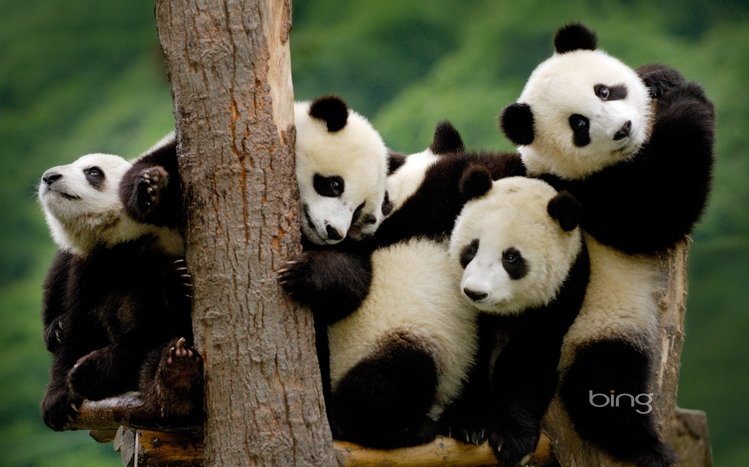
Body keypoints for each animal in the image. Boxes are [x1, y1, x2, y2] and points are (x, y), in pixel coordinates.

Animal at [38, 139, 201, 430]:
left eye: (93, 172)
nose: (50, 177)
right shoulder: (90, 268)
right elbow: (78, 327)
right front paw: (58, 399)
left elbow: (150, 332)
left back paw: (175, 378)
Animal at [440, 173, 589, 467]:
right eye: (472, 248)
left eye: (511, 257)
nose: (475, 292)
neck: (504, 311)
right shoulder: (473, 315)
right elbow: (472, 352)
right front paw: (465, 422)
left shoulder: (562, 295)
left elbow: (530, 361)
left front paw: (512, 440)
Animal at [499, 23, 714, 466]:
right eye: (579, 125)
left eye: (604, 91)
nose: (623, 129)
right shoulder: (584, 196)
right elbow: (658, 210)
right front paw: (689, 98)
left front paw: (661, 78)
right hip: (594, 325)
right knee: (604, 385)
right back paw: (645, 447)